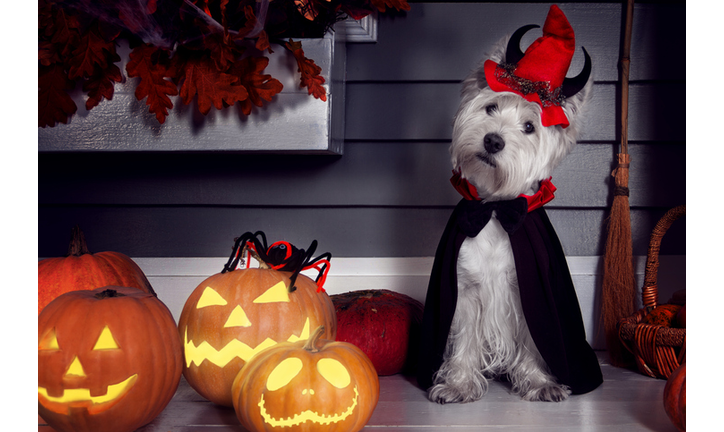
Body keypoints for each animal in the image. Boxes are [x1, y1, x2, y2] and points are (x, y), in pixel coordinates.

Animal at [418, 5, 600, 404]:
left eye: (530, 127)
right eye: (490, 107)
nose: (493, 140)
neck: (495, 210)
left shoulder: (527, 290)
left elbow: (534, 341)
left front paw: (539, 383)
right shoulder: (465, 289)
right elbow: (464, 341)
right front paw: (458, 384)